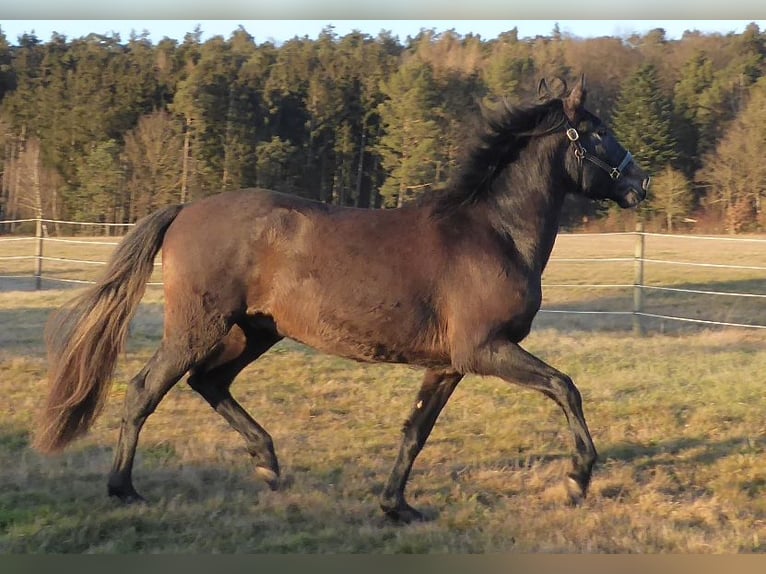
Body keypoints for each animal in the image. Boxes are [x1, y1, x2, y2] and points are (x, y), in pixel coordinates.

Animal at [33, 79, 652, 524]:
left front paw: (396, 506)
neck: (492, 233)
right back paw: (124, 489)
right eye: (598, 132)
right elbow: (565, 388)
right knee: (145, 390)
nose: (639, 184)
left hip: (254, 331)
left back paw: (268, 464)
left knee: (209, 382)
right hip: (199, 329)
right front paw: (576, 479)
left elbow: (415, 431)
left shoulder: (450, 364)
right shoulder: (485, 350)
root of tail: (184, 209)